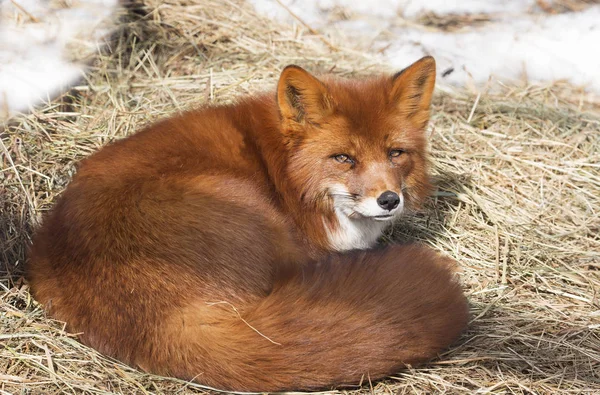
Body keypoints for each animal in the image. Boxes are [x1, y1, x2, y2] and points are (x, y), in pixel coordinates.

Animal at [27, 56, 468, 392]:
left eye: (396, 153)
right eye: (344, 158)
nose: (389, 200)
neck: (286, 171)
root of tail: (163, 325)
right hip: (253, 210)